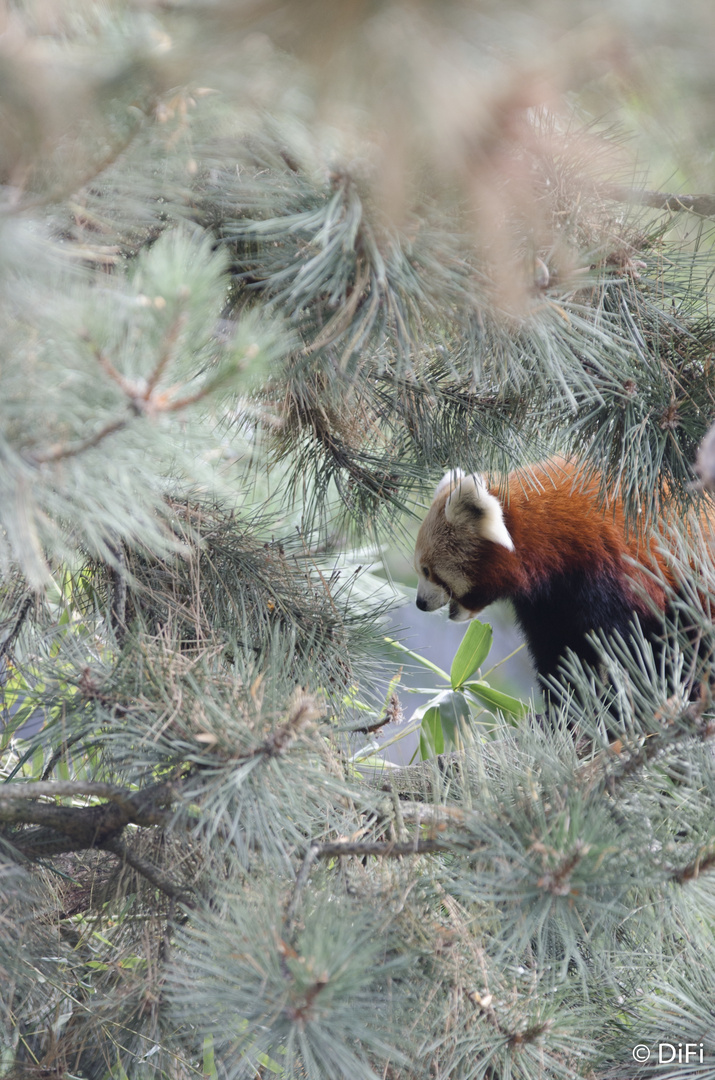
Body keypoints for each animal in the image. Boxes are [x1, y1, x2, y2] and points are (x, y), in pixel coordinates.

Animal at [414, 457, 699, 682]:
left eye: (427, 571)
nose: (419, 603)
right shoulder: (547, 604)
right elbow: (559, 653)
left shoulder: (616, 570)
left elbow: (632, 647)